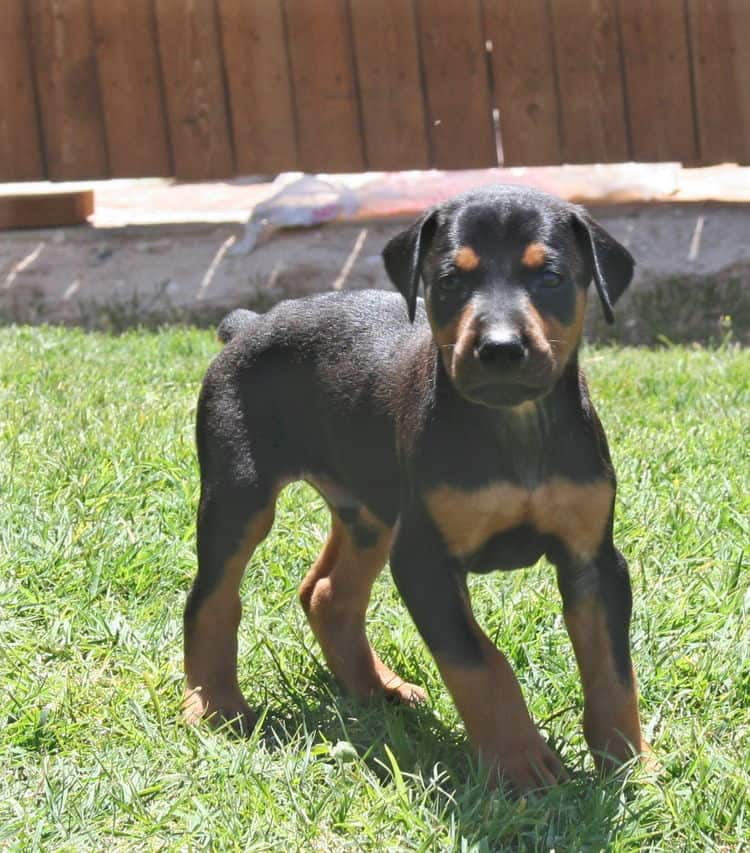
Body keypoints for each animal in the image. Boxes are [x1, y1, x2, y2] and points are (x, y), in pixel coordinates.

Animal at [184, 186, 652, 792]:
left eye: (550, 277)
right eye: (449, 281)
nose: (500, 349)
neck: (515, 426)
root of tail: (250, 324)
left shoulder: (593, 560)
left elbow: (613, 669)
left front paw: (631, 764)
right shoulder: (425, 560)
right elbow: (481, 662)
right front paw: (521, 764)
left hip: (370, 513)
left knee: (328, 593)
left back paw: (376, 689)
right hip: (240, 495)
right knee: (212, 597)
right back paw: (215, 704)